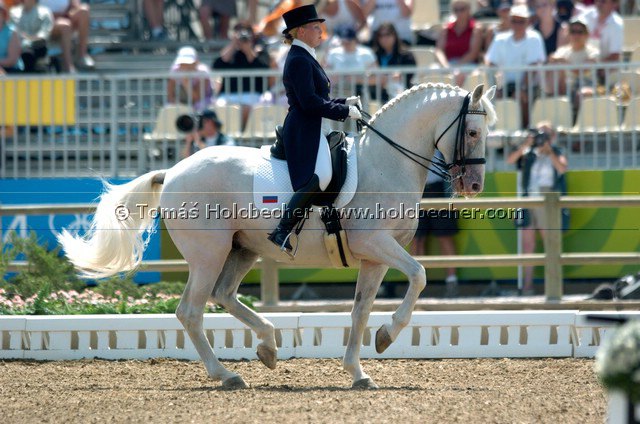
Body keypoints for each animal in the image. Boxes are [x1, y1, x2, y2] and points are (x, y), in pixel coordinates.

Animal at [58, 83, 496, 390]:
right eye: (474, 131)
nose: (474, 185)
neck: (386, 162)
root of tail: (175, 171)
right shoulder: (375, 244)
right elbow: (419, 275)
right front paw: (387, 336)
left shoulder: (374, 258)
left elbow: (360, 311)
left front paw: (360, 369)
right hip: (208, 254)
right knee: (191, 311)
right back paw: (227, 375)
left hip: (242, 250)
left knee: (223, 295)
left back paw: (268, 344)